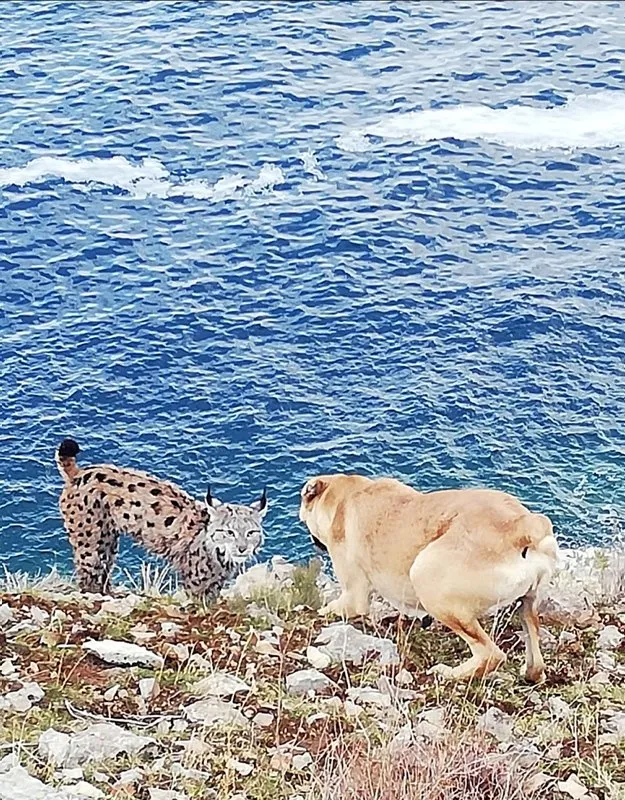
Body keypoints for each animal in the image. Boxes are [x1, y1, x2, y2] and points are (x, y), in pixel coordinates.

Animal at [300, 476, 560, 680]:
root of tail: (520, 527)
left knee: (489, 654)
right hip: (529, 603)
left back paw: (450, 674)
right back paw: (531, 674)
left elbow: (332, 608)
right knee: (534, 651)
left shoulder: (353, 597)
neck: (345, 495)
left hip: (428, 581)